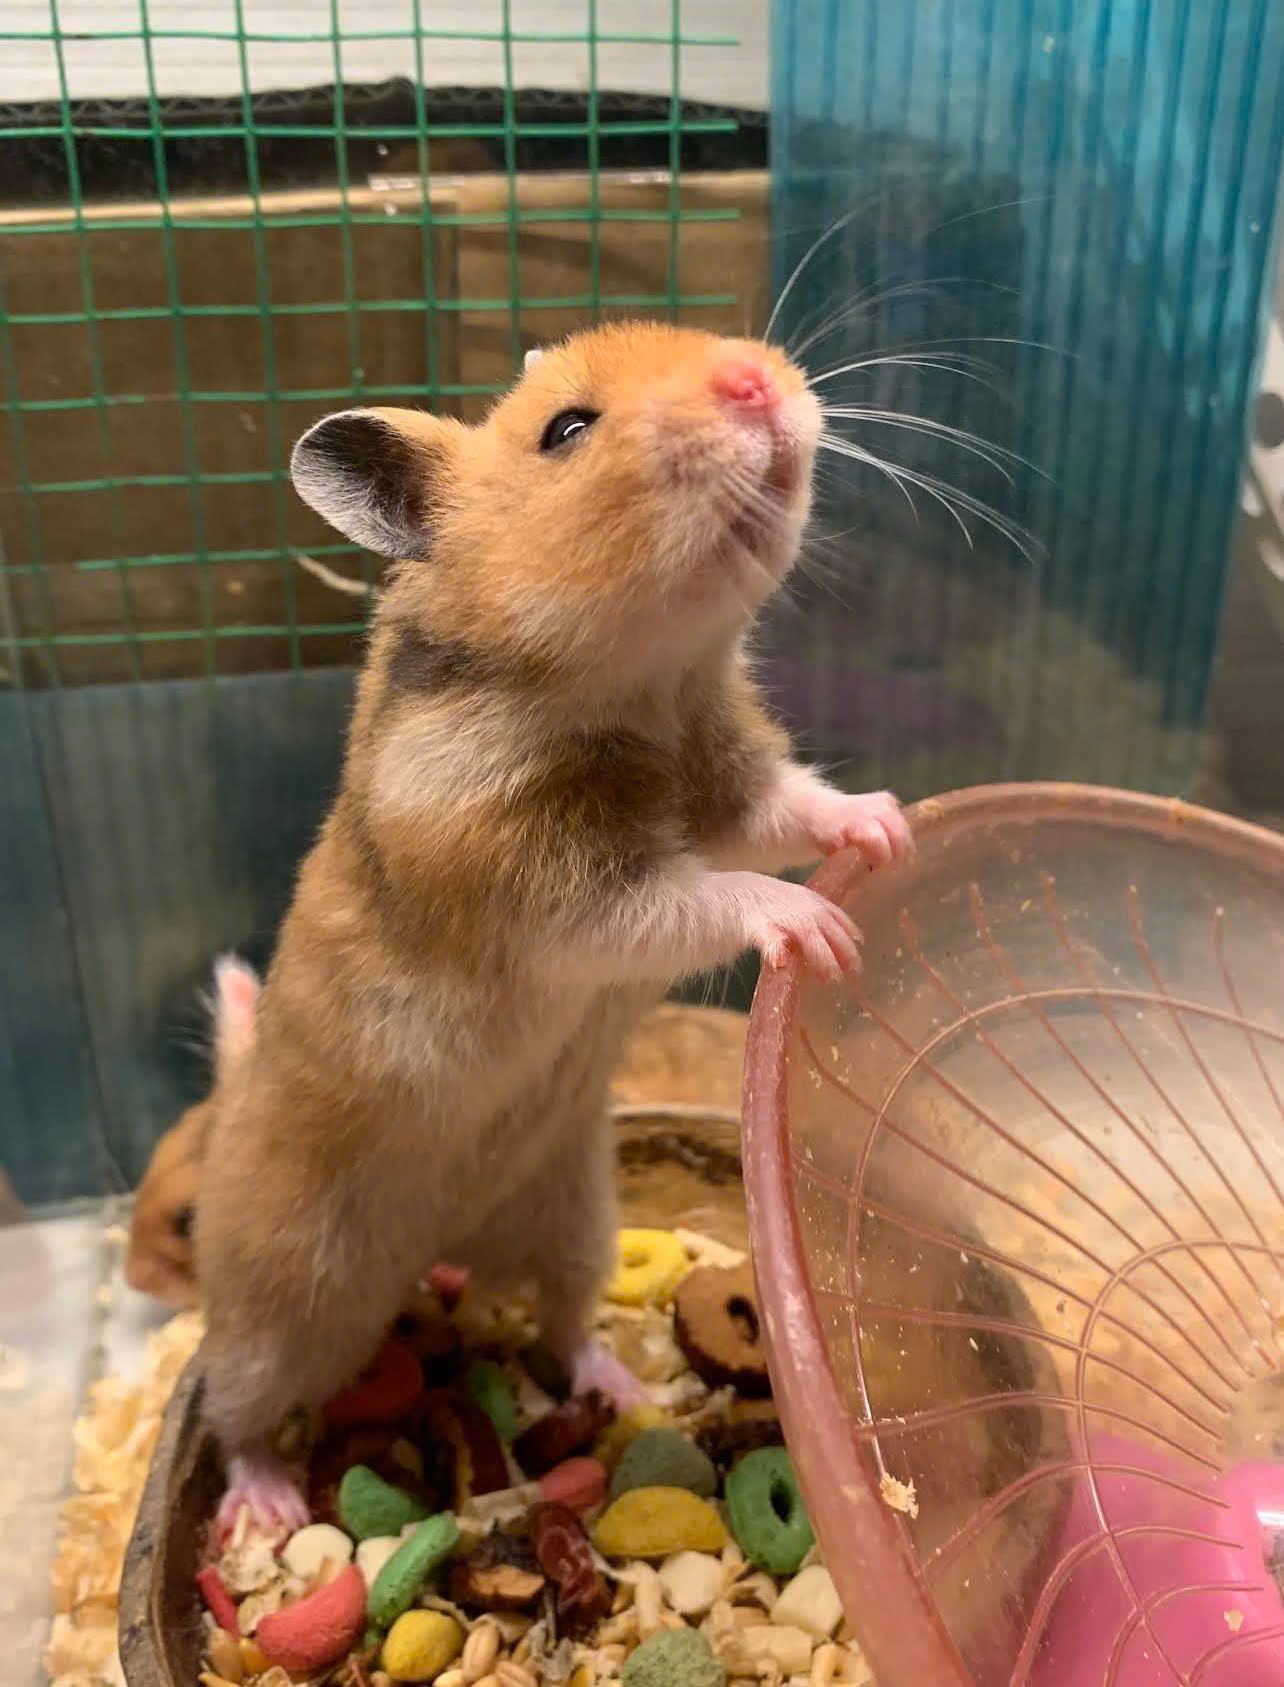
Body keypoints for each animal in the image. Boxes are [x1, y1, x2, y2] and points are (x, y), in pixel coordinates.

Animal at [196, 320, 912, 1534]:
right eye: (567, 431)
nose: (757, 378)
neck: (643, 685)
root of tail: (440, 1252)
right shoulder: (560, 898)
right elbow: (702, 897)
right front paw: (822, 925)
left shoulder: (728, 778)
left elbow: (789, 807)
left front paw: (889, 826)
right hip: (283, 1303)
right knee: (233, 1405)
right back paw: (268, 1506)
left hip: (575, 1213)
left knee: (567, 1322)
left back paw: (622, 1385)